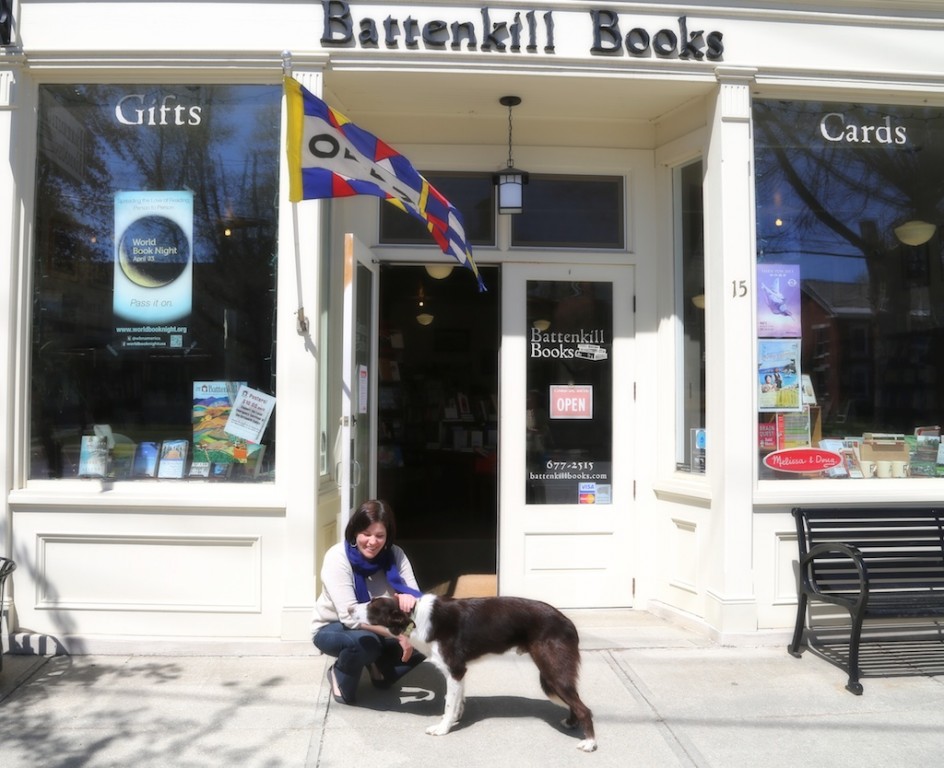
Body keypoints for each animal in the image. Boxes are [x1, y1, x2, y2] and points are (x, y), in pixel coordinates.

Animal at [354, 592, 596, 752]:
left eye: (372, 607)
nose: (348, 609)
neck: (414, 616)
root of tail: (568, 623)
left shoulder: (455, 669)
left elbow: (449, 703)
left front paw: (443, 728)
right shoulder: (459, 671)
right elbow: (457, 700)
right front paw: (455, 718)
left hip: (552, 672)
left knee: (585, 709)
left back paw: (590, 742)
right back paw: (572, 723)